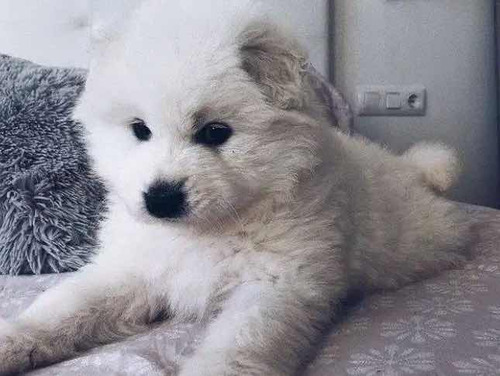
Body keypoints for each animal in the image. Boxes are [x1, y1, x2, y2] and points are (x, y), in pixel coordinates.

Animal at [0, 1, 468, 374]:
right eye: (139, 130)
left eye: (215, 132)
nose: (160, 199)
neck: (209, 229)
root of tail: (411, 169)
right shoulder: (132, 268)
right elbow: (65, 306)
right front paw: (14, 341)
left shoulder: (275, 287)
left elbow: (239, 345)